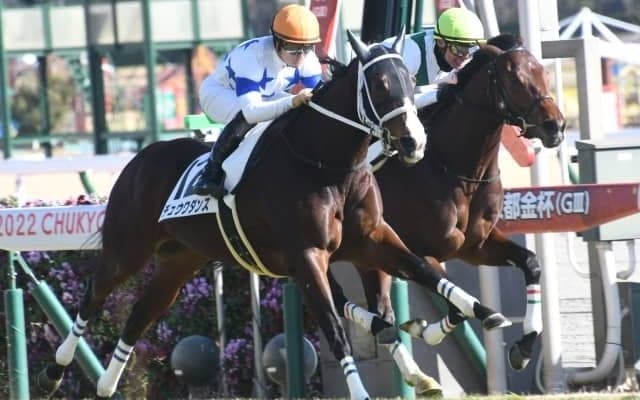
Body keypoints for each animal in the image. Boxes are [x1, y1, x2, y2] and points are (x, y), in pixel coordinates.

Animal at [38, 31, 509, 400]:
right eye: (378, 83)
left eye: (411, 81)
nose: (413, 142)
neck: (325, 163)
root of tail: (139, 158)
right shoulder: (308, 256)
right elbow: (335, 328)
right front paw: (360, 390)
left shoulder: (373, 239)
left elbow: (423, 271)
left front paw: (484, 312)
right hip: (128, 248)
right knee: (94, 293)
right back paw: (55, 370)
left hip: (179, 260)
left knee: (141, 313)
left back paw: (106, 384)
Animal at [328, 33, 566, 375]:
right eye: (515, 78)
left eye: (544, 73)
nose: (555, 127)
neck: (458, 170)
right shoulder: (421, 249)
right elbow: (452, 298)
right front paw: (430, 328)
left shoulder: (474, 246)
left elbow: (530, 263)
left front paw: (523, 346)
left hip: (367, 255)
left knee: (379, 310)